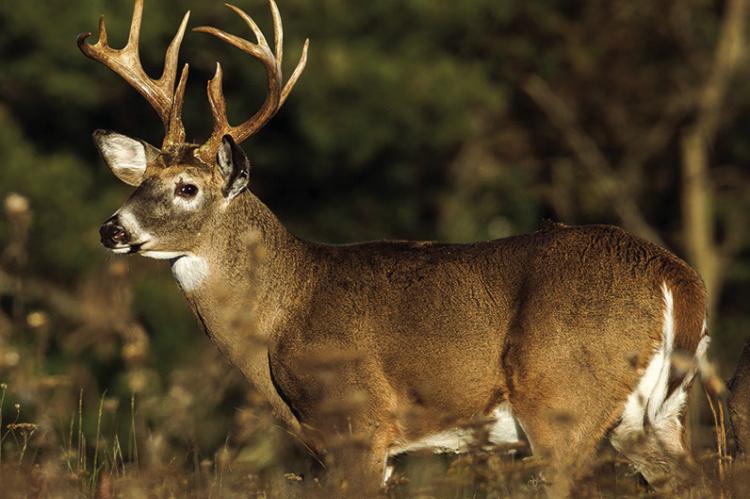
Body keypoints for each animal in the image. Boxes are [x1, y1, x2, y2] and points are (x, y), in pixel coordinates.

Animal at [79, 0, 710, 495]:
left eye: (187, 187)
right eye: (138, 181)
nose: (111, 229)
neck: (284, 309)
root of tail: (675, 278)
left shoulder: (356, 422)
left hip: (562, 399)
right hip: (654, 419)